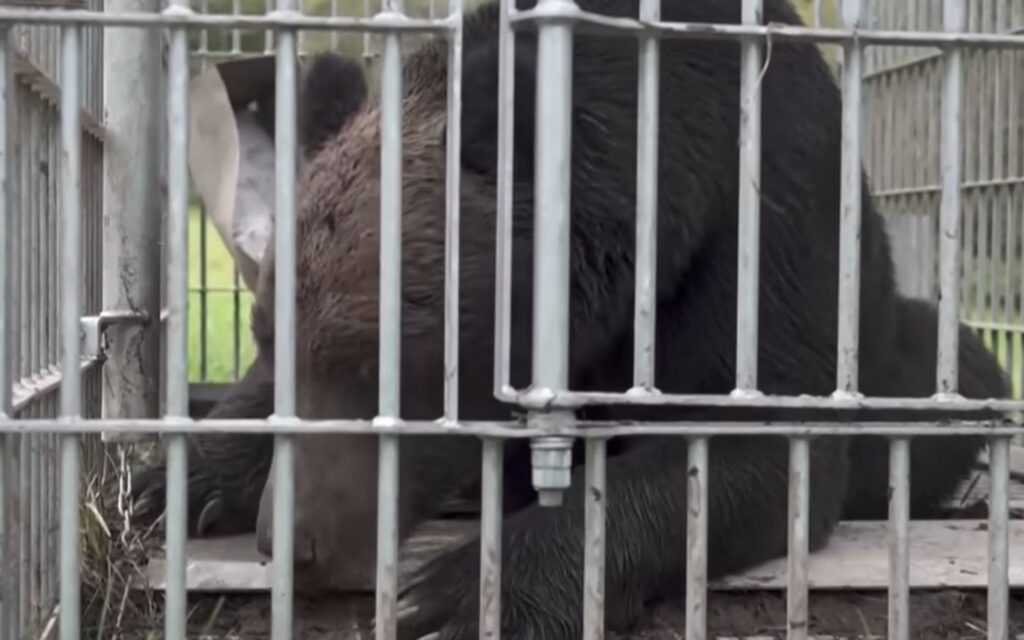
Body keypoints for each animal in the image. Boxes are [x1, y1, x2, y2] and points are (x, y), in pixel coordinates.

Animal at [131, 0, 1010, 637]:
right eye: (267, 334)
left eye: (388, 359)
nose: (293, 542)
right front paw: (177, 480)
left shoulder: (764, 219)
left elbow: (747, 452)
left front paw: (461, 597)